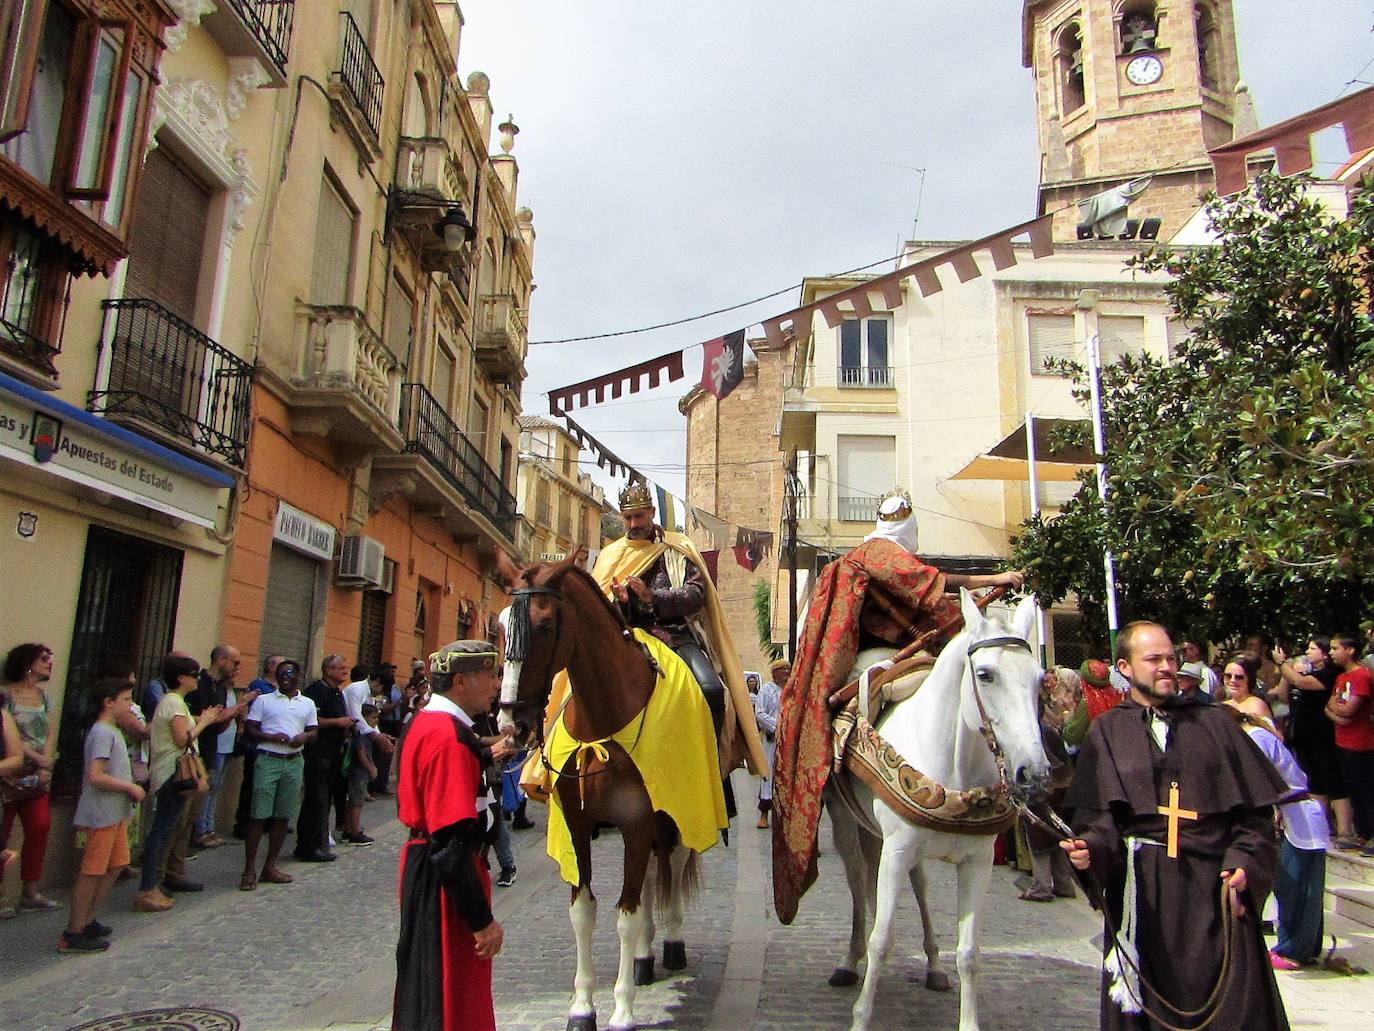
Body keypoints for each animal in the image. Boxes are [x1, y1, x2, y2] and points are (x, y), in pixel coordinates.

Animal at [497, 549, 708, 1031]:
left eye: (544, 625)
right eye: (499, 625)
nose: (510, 724)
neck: (603, 719)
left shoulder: (637, 819)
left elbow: (625, 916)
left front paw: (623, 1010)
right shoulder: (578, 826)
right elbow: (584, 911)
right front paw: (582, 1007)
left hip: (679, 811)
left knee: (674, 863)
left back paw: (671, 943)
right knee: (650, 875)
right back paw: (646, 957)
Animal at [824, 588, 1049, 1031]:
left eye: (1039, 680)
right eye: (985, 674)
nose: (1034, 772)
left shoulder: (977, 862)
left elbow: (969, 952)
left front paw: (968, 1019)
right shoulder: (895, 852)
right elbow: (881, 940)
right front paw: (860, 1016)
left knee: (921, 888)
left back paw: (933, 967)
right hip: (846, 824)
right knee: (858, 884)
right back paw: (847, 961)